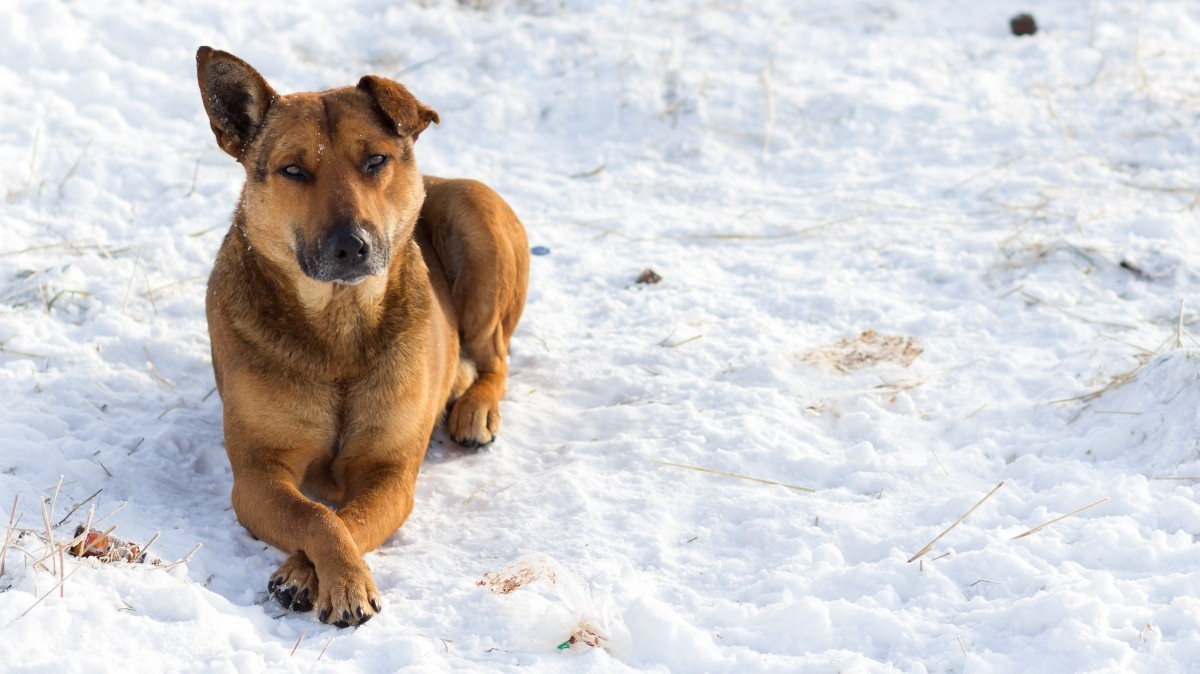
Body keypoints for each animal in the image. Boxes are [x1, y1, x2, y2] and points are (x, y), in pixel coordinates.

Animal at [198, 45, 530, 623]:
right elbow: (317, 516)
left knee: (496, 358)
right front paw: (329, 576)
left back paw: (475, 409)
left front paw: (316, 575)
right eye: (293, 169)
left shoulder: (389, 472)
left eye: (375, 160)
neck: (339, 327)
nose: (350, 244)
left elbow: (347, 519)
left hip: (476, 217)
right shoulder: (258, 473)